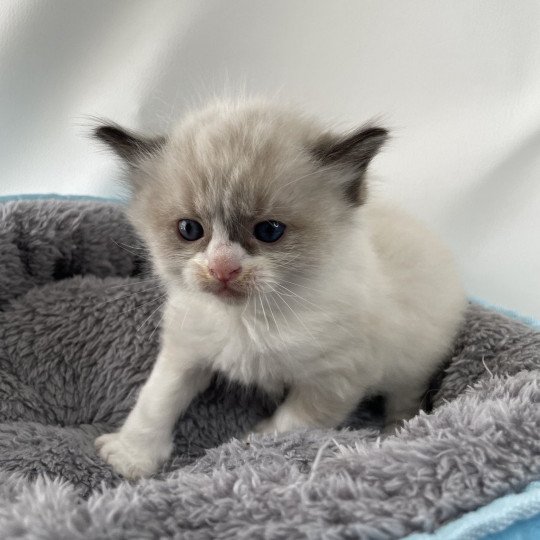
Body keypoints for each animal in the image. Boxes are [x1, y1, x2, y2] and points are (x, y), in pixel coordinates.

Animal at [93, 99, 464, 478]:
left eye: (269, 231)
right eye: (190, 229)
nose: (222, 268)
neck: (247, 319)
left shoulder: (334, 379)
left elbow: (290, 425)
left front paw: (250, 445)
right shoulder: (186, 350)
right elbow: (156, 399)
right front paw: (131, 458)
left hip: (414, 361)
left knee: (406, 399)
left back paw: (397, 436)